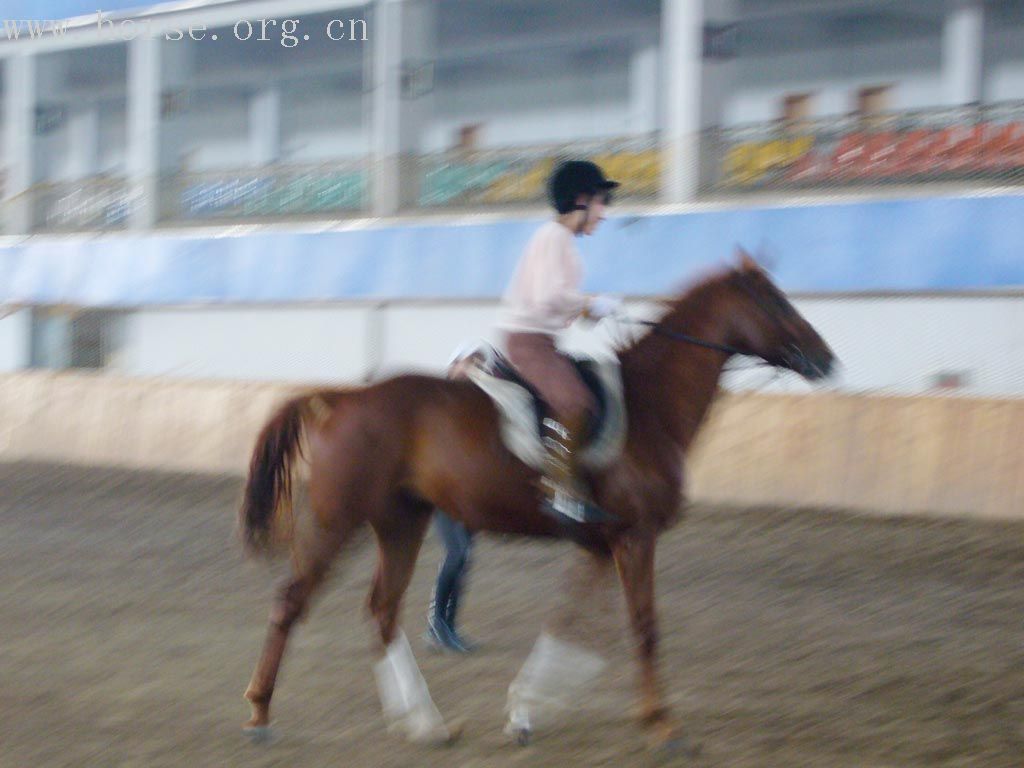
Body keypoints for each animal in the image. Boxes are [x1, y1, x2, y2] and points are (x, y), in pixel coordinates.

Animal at [237, 252, 831, 753]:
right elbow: (643, 627)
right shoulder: (635, 538)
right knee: (290, 601)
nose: (826, 360)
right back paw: (260, 715)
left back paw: (425, 725)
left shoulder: (602, 545)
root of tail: (340, 399)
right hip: (336, 520)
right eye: (776, 302)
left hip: (400, 522)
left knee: (382, 610)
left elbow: (568, 627)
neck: (649, 405)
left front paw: (524, 711)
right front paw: (663, 726)